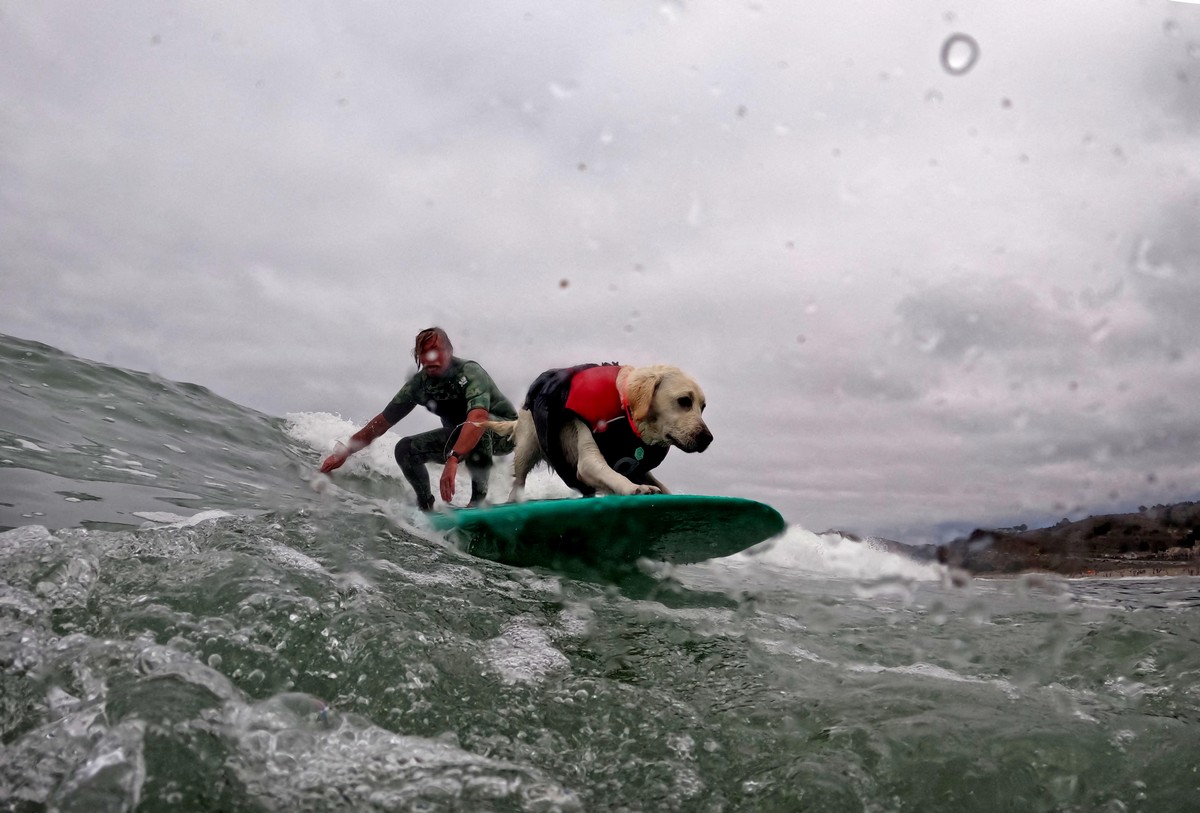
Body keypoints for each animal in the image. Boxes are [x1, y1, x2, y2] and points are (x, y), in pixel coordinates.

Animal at [482, 364, 710, 503]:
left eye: (703, 407)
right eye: (684, 401)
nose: (708, 439)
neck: (625, 410)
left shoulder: (639, 468)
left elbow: (658, 483)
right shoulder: (588, 460)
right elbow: (610, 473)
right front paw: (634, 488)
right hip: (528, 446)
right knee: (519, 480)